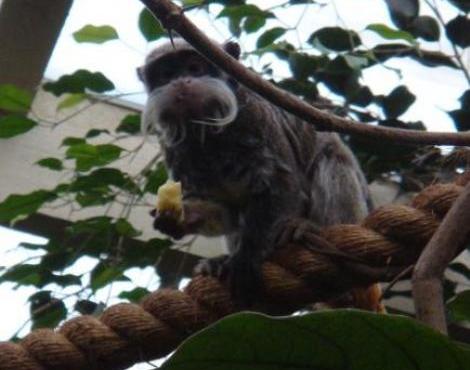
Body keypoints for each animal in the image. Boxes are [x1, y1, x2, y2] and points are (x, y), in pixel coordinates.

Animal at [138, 39, 376, 308]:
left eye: (195, 67)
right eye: (167, 74)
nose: (181, 82)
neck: (208, 133)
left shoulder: (257, 117)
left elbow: (284, 184)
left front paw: (247, 257)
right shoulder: (172, 147)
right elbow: (225, 210)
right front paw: (179, 219)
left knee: (332, 156)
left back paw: (310, 228)